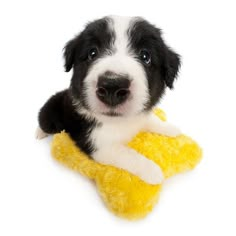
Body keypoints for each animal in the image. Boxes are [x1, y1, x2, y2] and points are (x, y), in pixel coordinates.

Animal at [36, 15, 181, 185]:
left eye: (145, 56)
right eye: (92, 53)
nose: (112, 87)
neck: (121, 121)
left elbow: (150, 120)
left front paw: (170, 129)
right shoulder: (99, 144)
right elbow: (127, 154)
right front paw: (153, 171)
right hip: (50, 116)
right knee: (43, 123)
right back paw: (39, 132)